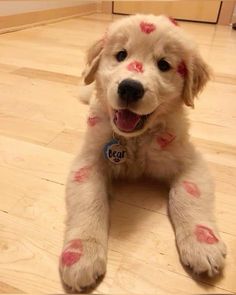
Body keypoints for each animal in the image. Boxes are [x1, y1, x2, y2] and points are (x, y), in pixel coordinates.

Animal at [59, 15, 227, 292]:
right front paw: (81, 254)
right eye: (121, 55)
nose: (130, 88)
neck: (134, 139)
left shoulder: (189, 161)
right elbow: (89, 200)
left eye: (164, 64)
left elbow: (186, 195)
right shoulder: (88, 162)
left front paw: (203, 245)